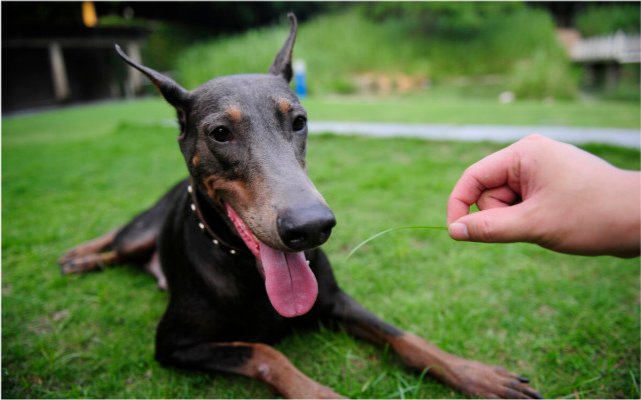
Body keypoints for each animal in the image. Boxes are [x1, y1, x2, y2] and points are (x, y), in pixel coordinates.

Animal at [57, 13, 544, 400]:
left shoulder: (336, 300)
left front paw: (475, 374)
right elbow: (265, 352)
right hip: (142, 233)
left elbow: (404, 337)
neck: (246, 267)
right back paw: (78, 257)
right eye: (220, 133)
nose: (311, 227)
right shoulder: (176, 343)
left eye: (299, 121)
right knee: (121, 239)